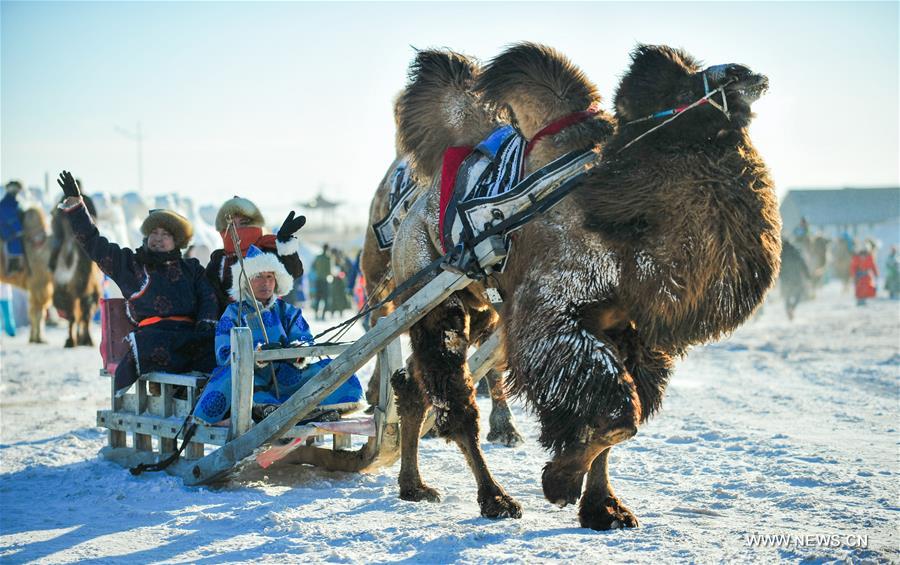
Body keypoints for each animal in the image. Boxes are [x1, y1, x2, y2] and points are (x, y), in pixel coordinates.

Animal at [390, 40, 776, 528]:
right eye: (685, 83)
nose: (746, 72)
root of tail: (411, 211)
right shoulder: (553, 314)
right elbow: (617, 416)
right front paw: (560, 483)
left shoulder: (628, 330)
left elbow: (620, 418)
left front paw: (603, 507)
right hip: (430, 291)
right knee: (455, 401)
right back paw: (494, 498)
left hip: (478, 305)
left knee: (412, 382)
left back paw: (414, 486)